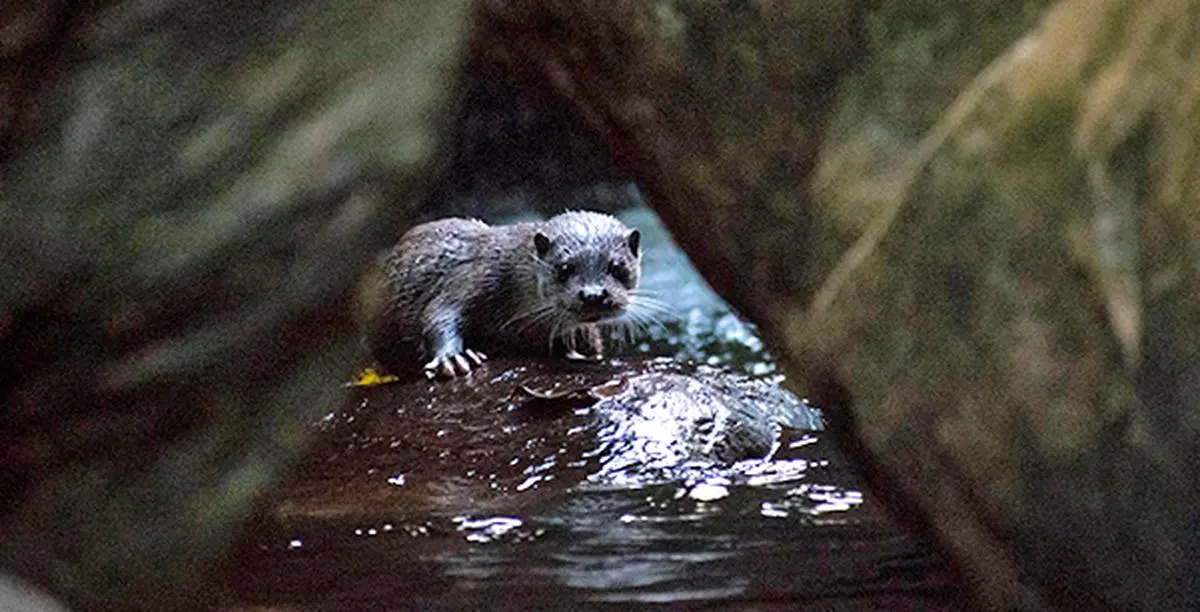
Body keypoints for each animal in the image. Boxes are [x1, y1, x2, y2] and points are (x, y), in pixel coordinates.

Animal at [361, 211, 649, 378]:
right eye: (565, 268)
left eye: (616, 267)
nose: (593, 295)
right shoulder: (473, 278)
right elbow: (439, 313)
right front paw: (453, 359)